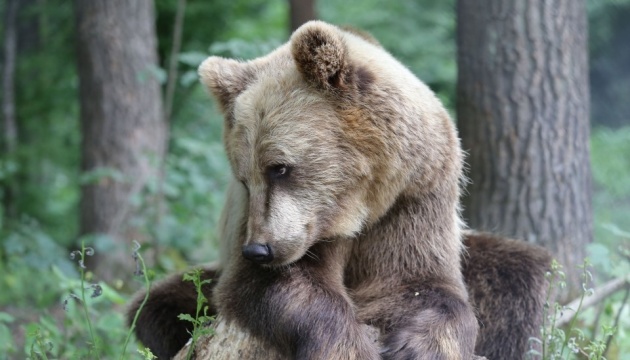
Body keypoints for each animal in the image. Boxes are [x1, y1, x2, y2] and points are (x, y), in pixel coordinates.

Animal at [128, 22, 552, 360]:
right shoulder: (297, 229)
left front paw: (419, 346)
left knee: (517, 273)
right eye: (244, 179)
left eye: (279, 167)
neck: (362, 202)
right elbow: (280, 285)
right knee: (155, 307)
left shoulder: (414, 197)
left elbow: (420, 285)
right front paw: (348, 346)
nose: (258, 249)